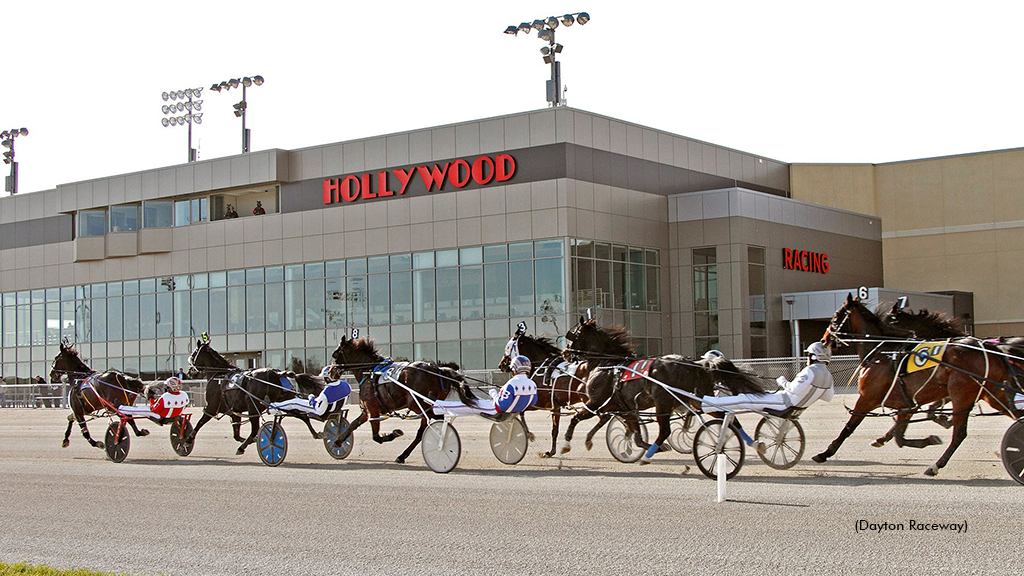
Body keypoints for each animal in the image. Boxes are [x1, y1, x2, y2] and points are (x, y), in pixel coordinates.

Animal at [187, 336, 323, 453]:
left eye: (193, 354)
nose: (189, 372)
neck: (219, 375)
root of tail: (278, 373)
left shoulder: (211, 407)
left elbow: (200, 423)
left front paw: (187, 440)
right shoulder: (234, 410)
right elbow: (236, 433)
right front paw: (251, 440)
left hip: (253, 406)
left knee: (255, 429)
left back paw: (242, 447)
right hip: (287, 399)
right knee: (303, 416)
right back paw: (315, 434)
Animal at [331, 334, 479, 463]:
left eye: (335, 354)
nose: (331, 372)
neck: (370, 371)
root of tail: (439, 370)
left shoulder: (372, 408)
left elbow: (376, 436)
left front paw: (395, 433)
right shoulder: (368, 409)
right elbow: (353, 424)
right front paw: (337, 441)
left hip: (418, 405)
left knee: (438, 421)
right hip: (423, 407)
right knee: (421, 432)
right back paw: (402, 456)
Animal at [495, 325, 593, 455]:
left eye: (508, 347)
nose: (501, 365)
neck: (543, 368)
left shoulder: (539, 402)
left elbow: (521, 412)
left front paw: (529, 435)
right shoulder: (555, 406)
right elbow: (554, 429)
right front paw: (552, 451)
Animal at [561, 315, 770, 459]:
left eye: (573, 334)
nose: (565, 353)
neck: (609, 365)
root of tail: (695, 364)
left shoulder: (595, 401)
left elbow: (576, 418)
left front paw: (567, 442)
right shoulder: (624, 407)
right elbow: (635, 433)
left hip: (663, 403)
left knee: (665, 431)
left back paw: (651, 453)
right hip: (697, 401)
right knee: (728, 416)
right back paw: (753, 443)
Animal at [811, 293, 1019, 473]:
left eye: (835, 317)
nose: (824, 339)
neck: (882, 353)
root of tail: (989, 349)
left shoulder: (867, 398)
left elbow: (849, 428)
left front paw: (824, 453)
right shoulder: (906, 404)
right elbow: (899, 436)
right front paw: (928, 438)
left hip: (962, 395)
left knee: (960, 434)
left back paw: (935, 466)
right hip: (992, 393)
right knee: (1016, 414)